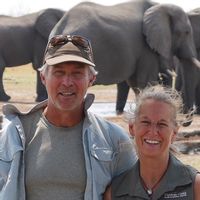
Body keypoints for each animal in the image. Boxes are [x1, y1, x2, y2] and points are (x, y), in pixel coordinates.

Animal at [48, 0, 200, 113]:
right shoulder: (145, 47)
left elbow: (136, 84)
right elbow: (145, 81)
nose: (186, 117)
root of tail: (60, 26)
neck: (160, 6)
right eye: (186, 32)